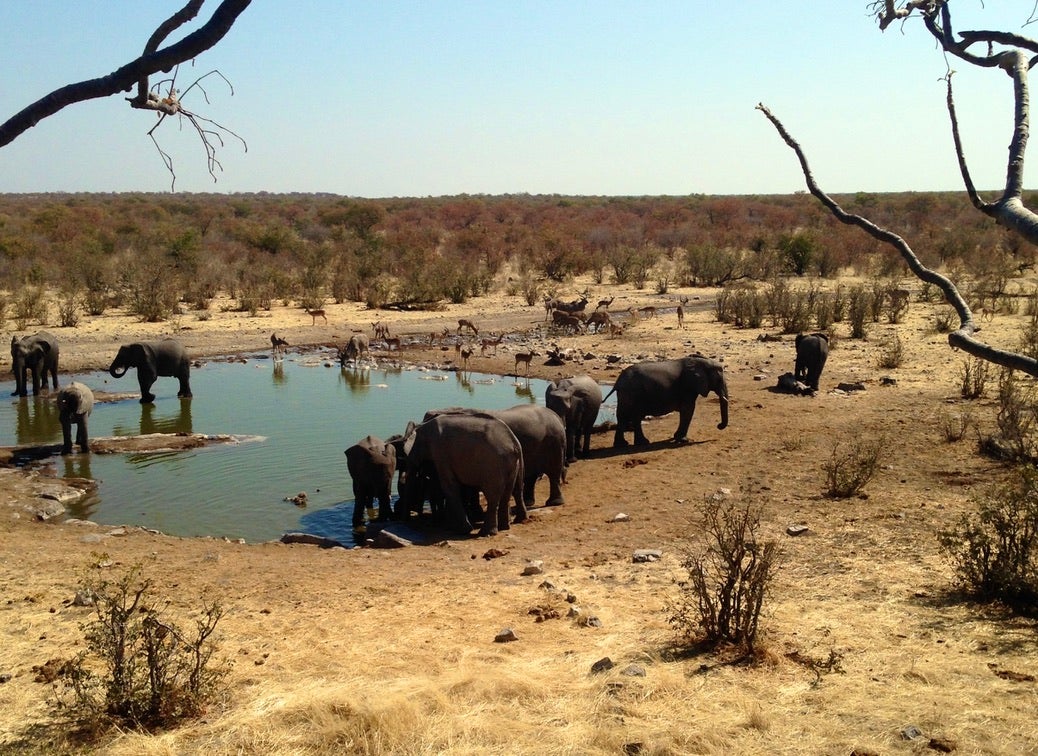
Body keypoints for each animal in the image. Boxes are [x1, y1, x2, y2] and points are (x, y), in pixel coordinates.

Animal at [425, 404, 566, 508]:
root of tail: (556, 417)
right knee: (532, 476)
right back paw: (528, 502)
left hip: (553, 443)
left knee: (553, 472)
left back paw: (553, 503)